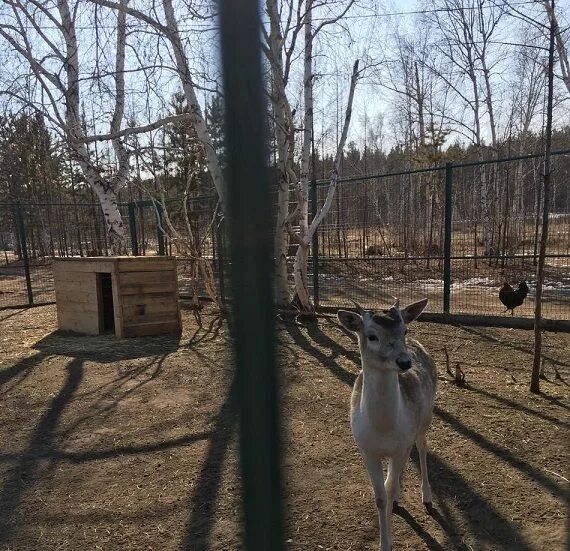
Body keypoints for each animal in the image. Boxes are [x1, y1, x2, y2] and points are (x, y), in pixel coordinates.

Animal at [338, 302, 434, 551]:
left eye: (404, 331)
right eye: (371, 336)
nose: (405, 362)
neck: (383, 429)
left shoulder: (401, 444)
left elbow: (387, 491)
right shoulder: (366, 449)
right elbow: (381, 497)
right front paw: (384, 543)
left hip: (426, 417)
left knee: (422, 447)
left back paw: (427, 496)